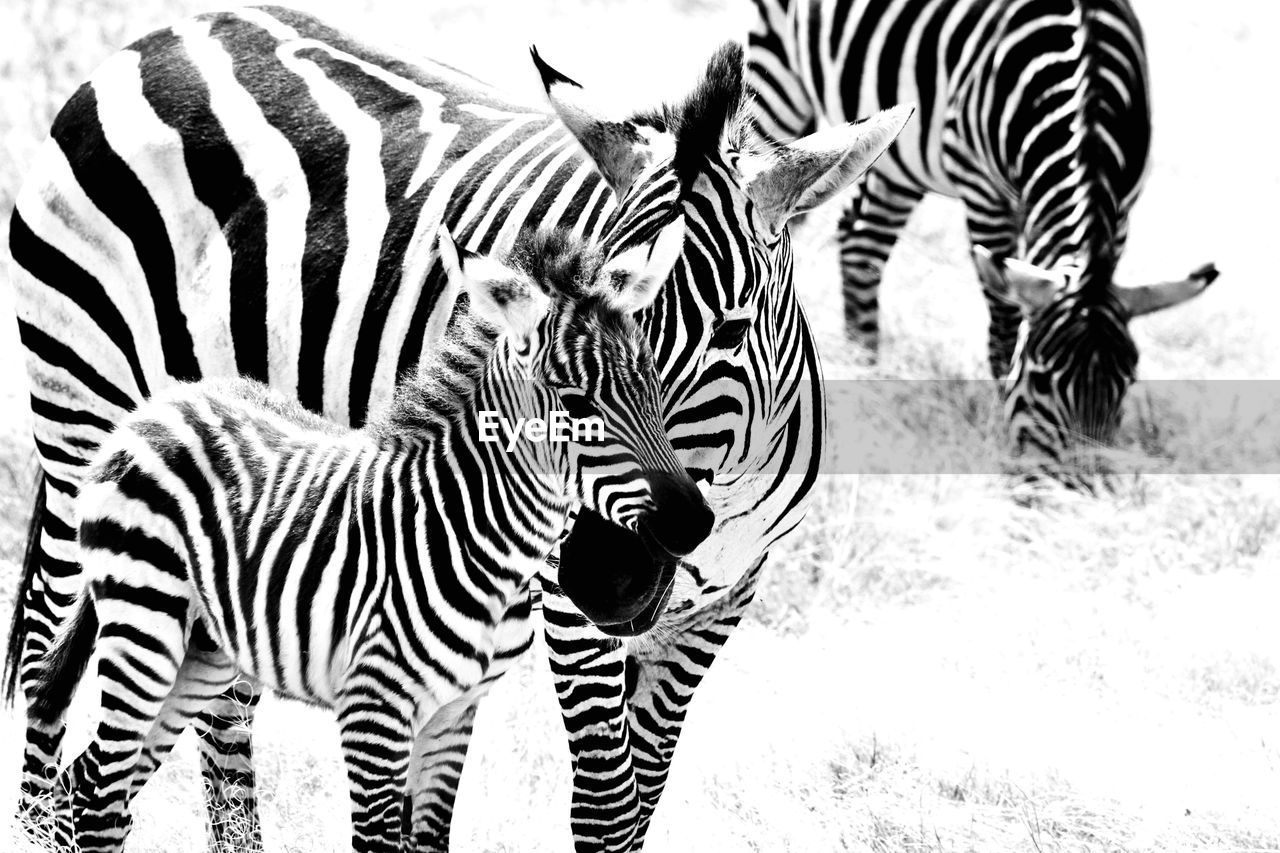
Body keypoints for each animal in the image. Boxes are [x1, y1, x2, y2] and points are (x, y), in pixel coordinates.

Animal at [24, 220, 711, 850]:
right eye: (577, 404)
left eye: (654, 383)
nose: (695, 524)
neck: (473, 529)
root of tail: (155, 407)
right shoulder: (373, 709)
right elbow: (379, 839)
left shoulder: (454, 715)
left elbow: (430, 840)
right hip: (145, 625)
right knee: (97, 789)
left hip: (203, 654)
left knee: (90, 783)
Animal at [747, 0, 1218, 466]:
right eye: (1041, 381)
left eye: (1128, 381)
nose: (1076, 482)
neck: (1088, 90)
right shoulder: (981, 187)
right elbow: (1005, 326)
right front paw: (1000, 427)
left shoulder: (1120, 211)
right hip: (778, 75)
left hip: (900, 153)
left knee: (862, 243)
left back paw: (867, 374)